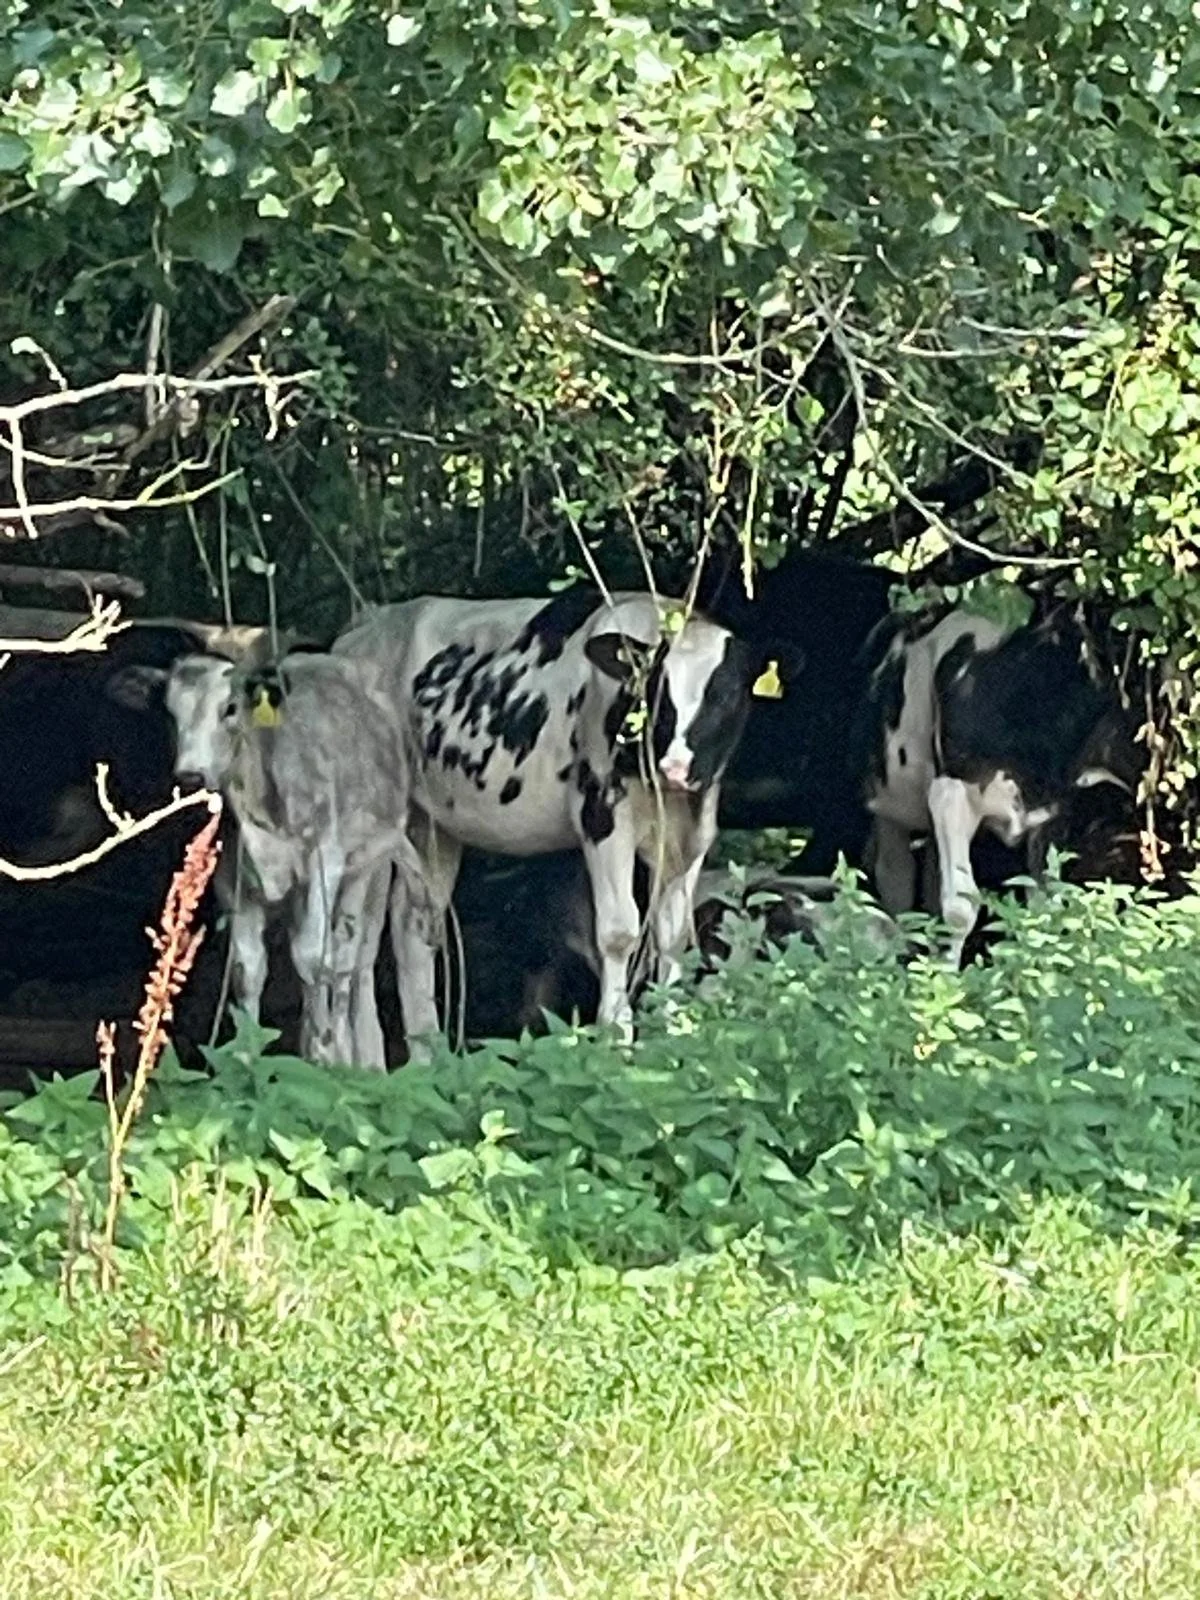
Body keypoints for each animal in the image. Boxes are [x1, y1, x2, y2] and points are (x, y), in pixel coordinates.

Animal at [108, 649, 431, 1070]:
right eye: (169, 712)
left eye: (230, 708)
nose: (191, 776)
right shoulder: (231, 879)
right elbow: (248, 969)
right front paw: (248, 1061)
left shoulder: (324, 860)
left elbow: (314, 958)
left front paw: (324, 1055)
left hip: (369, 867)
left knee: (347, 958)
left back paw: (346, 1055)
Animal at [333, 587, 787, 1045]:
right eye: (655, 694)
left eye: (726, 696)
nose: (674, 769)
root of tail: (362, 629)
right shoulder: (601, 815)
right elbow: (619, 931)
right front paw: (616, 1035)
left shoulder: (692, 835)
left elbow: (673, 933)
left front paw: (673, 1028)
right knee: (355, 937)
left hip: (433, 825)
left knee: (414, 926)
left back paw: (429, 1048)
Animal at [854, 606, 1143, 961]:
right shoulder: (953, 791)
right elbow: (960, 905)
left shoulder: (1054, 811)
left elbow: (1042, 907)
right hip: (889, 804)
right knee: (895, 878)